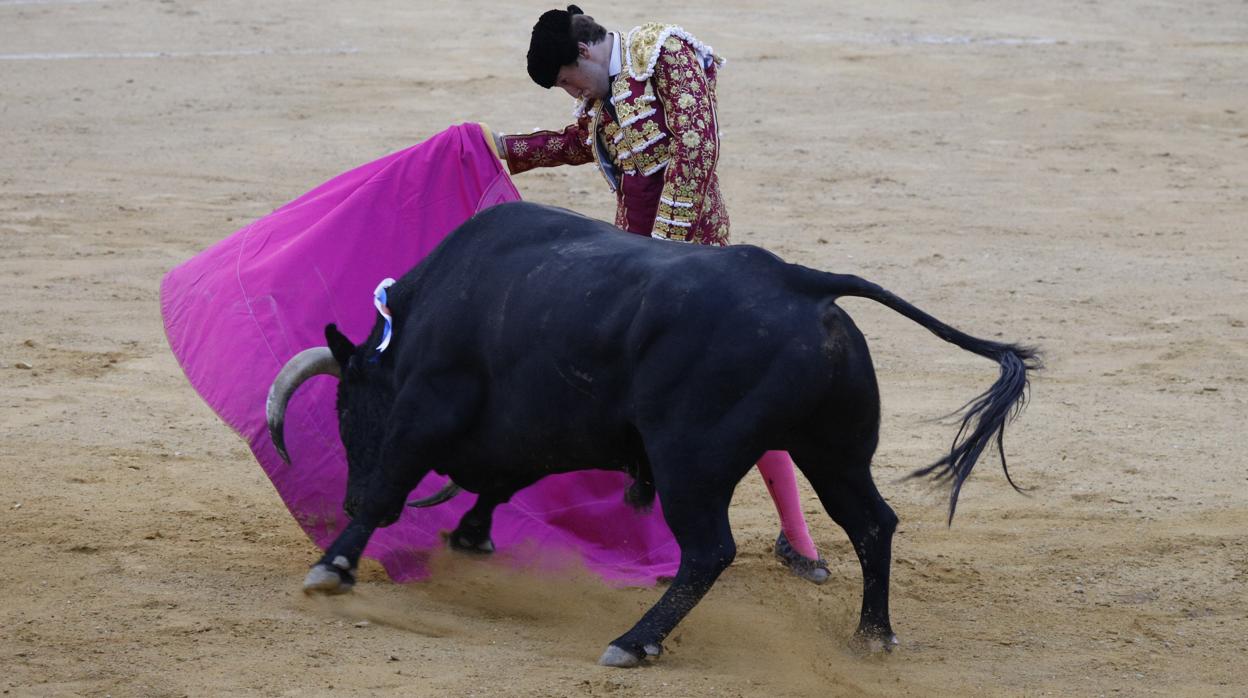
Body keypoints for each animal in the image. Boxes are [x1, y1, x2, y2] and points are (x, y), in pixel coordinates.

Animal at [268, 201, 1038, 664]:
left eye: (345, 410)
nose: (340, 499)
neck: (416, 322)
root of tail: (800, 282)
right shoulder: (530, 428)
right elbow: (503, 479)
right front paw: (470, 536)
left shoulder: (427, 404)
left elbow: (394, 481)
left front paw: (334, 565)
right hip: (834, 449)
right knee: (873, 522)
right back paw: (872, 635)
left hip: (690, 459)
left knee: (709, 550)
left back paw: (634, 643)